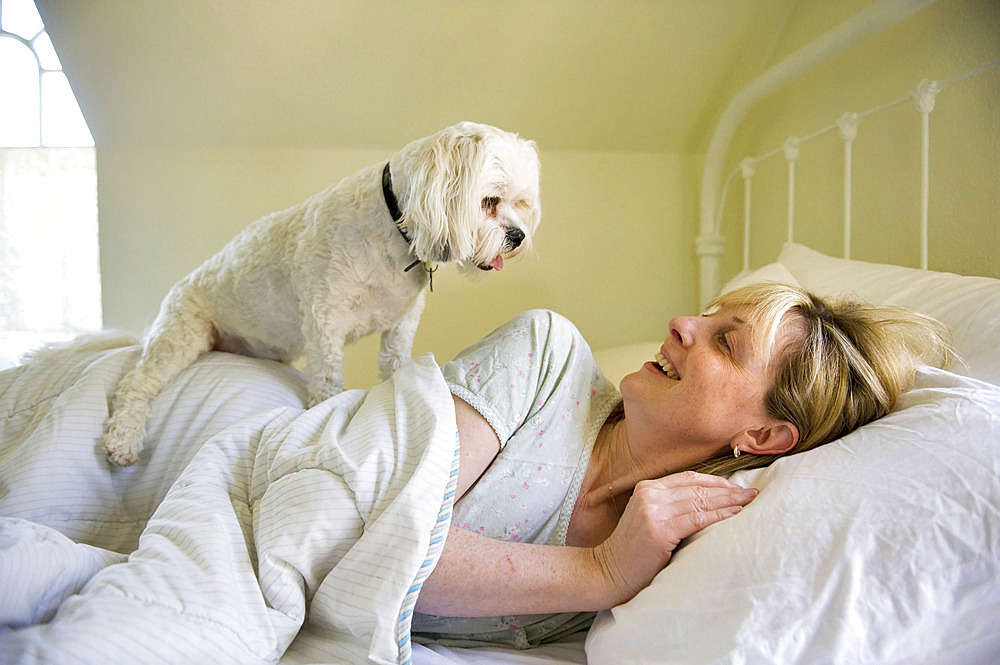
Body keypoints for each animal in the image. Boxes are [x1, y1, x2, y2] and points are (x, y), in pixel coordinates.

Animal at [101, 123, 540, 466]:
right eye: (488, 201)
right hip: (181, 335)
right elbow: (328, 381)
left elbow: (395, 366)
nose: (518, 236)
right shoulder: (324, 321)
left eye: (521, 204)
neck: (393, 223)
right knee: (137, 382)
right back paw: (123, 439)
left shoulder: (401, 324)